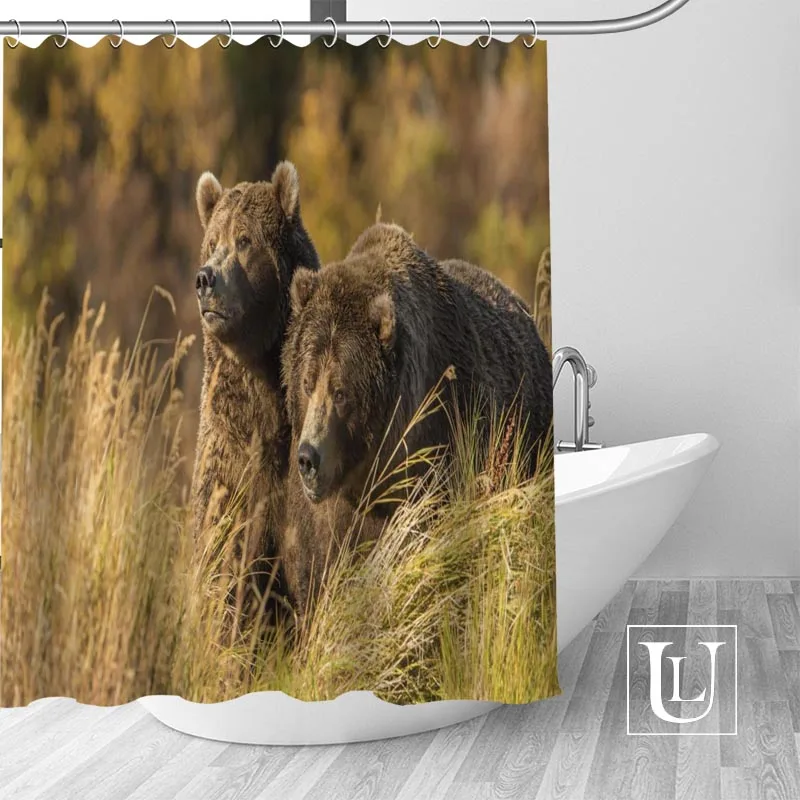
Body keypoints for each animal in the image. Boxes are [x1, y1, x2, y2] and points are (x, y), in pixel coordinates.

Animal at [279, 222, 553, 616]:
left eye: (341, 391)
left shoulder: (442, 450)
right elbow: (316, 571)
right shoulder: (321, 517)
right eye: (306, 381)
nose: (308, 458)